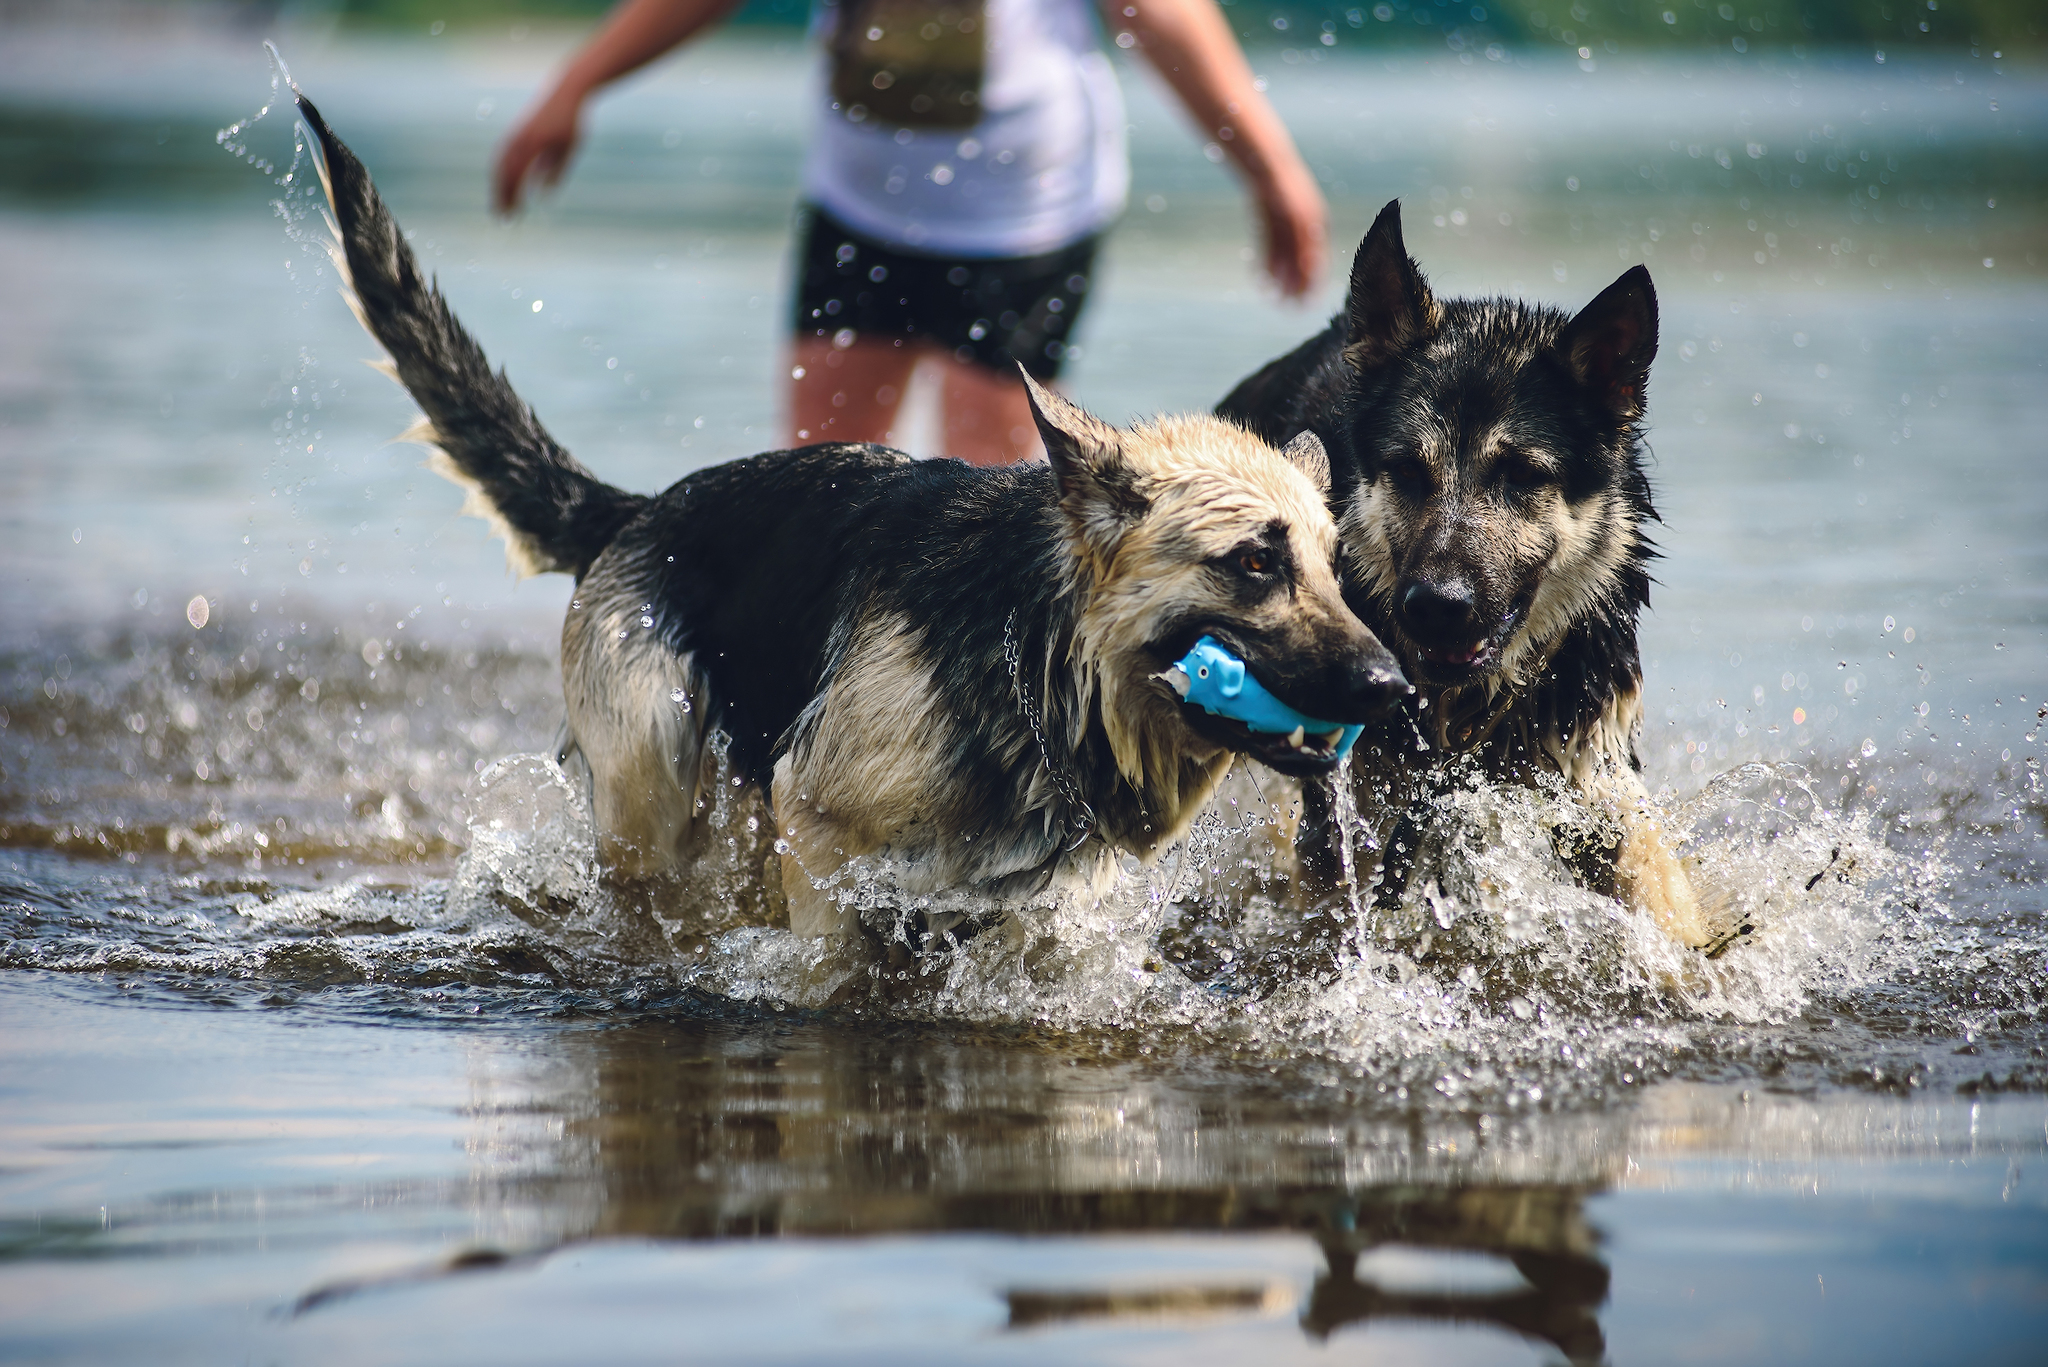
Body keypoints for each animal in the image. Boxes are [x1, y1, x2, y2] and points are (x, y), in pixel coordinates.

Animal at [292, 93, 1409, 950]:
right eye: (1254, 561)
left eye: (1334, 568)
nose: (1391, 685)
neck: (1034, 641)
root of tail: (641, 509)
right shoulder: (823, 838)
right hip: (660, 779)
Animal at [1220, 202, 1720, 959]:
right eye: (1407, 469)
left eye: (1520, 475)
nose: (1437, 608)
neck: (1467, 712)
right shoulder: (1357, 805)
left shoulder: (1594, 770)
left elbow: (1663, 904)